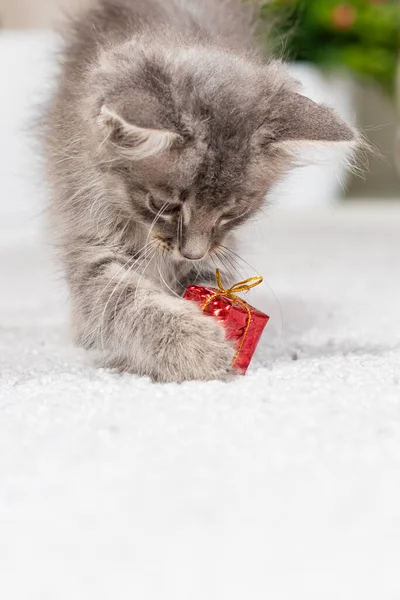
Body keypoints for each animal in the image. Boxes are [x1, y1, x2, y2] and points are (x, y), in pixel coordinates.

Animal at [44, 0, 356, 382]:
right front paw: (194, 345)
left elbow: (208, 280)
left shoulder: (217, 249)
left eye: (233, 213)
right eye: (163, 204)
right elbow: (123, 302)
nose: (190, 253)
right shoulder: (91, 236)